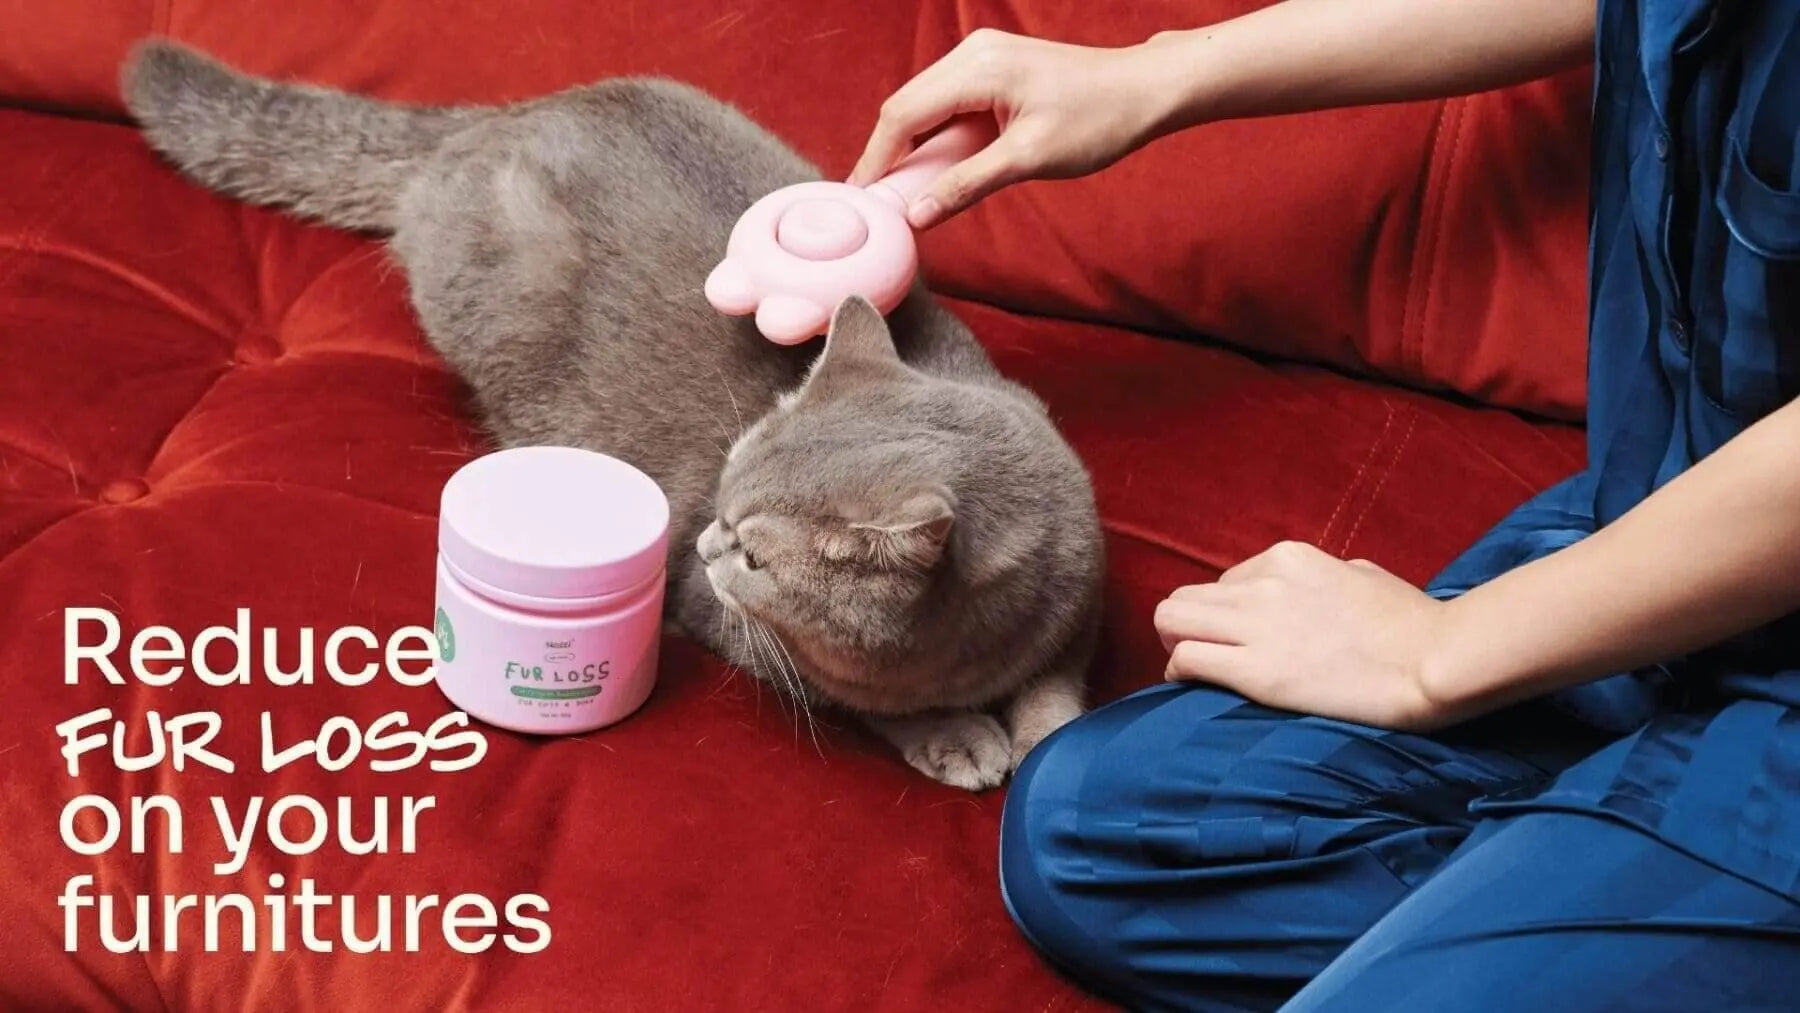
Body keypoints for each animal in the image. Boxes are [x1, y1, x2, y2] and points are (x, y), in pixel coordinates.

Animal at [121, 40, 1103, 790]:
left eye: (755, 553)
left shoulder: (1079, 599)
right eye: (723, 503)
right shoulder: (729, 624)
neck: (976, 645)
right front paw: (956, 732)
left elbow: (1060, 691)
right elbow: (853, 696)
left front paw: (1044, 743)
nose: (702, 539)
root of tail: (496, 118)